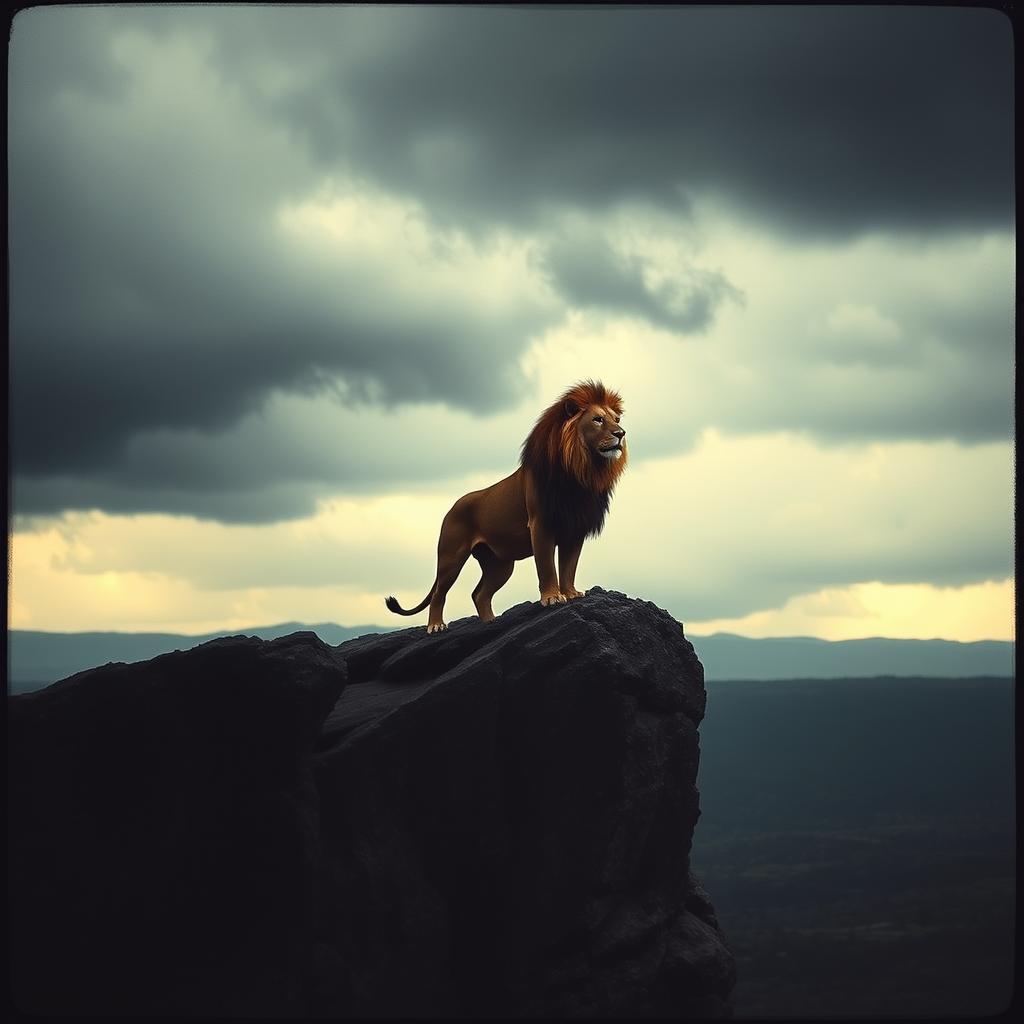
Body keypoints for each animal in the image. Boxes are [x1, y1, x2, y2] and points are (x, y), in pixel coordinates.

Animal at [385, 379, 628, 632]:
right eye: (597, 419)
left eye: (617, 419)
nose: (621, 433)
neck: (582, 472)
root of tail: (452, 506)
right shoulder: (540, 525)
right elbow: (546, 566)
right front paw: (552, 597)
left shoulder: (574, 529)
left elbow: (569, 567)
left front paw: (571, 593)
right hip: (451, 557)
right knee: (439, 593)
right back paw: (436, 625)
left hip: (500, 564)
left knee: (479, 594)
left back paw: (491, 622)